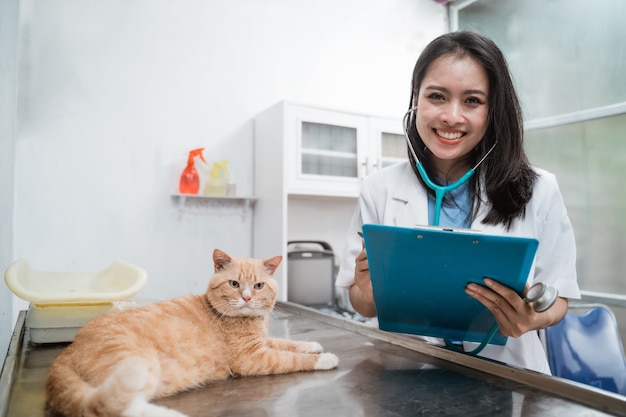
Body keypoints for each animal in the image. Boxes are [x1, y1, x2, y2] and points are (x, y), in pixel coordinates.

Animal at [45, 249, 336, 414]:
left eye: (259, 286)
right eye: (234, 284)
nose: (246, 298)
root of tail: (70, 348)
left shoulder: (262, 343)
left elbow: (288, 343)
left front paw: (313, 345)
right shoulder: (253, 358)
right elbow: (291, 358)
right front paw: (325, 358)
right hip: (137, 368)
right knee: (117, 406)